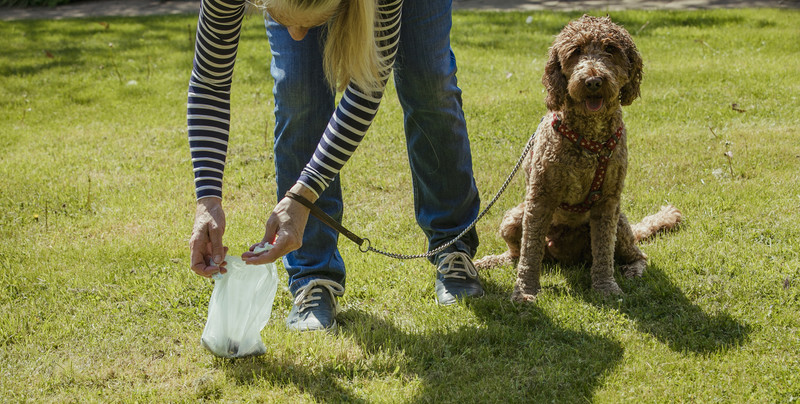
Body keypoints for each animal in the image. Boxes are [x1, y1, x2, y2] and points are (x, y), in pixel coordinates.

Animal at [476, 14, 680, 302]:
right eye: (575, 51)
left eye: (610, 49)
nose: (593, 81)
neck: (590, 140)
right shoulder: (539, 198)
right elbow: (530, 252)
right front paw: (524, 292)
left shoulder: (608, 202)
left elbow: (604, 252)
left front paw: (606, 287)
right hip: (513, 218)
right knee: (516, 255)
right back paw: (489, 261)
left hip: (620, 225)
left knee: (638, 254)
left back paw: (632, 270)